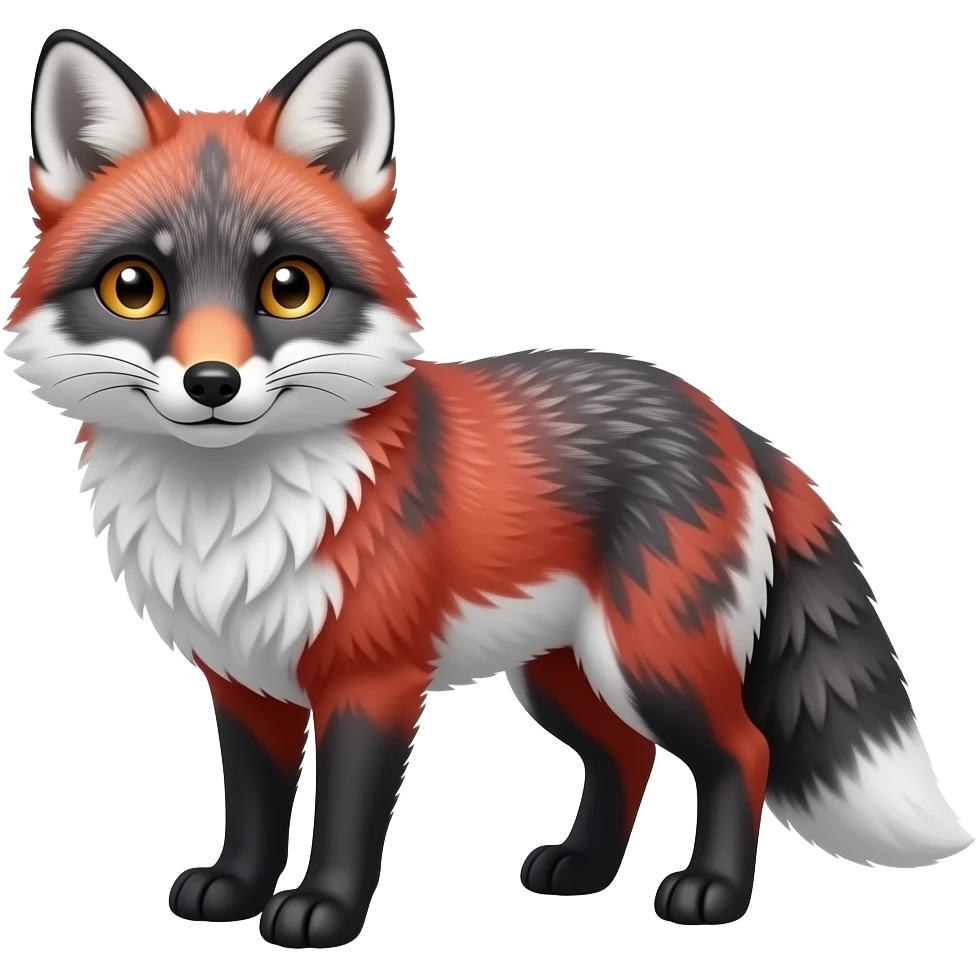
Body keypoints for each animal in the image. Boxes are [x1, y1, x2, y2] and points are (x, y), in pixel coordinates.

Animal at [5, 26, 974, 949]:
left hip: (649, 659)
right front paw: (235, 891)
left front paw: (322, 911)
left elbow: (346, 817)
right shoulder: (244, 679)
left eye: (287, 287)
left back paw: (713, 893)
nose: (213, 384)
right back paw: (582, 869)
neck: (226, 520)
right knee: (627, 757)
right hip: (564, 675)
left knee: (743, 749)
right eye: (136, 286)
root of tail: (721, 417)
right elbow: (253, 807)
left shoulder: (372, 677)